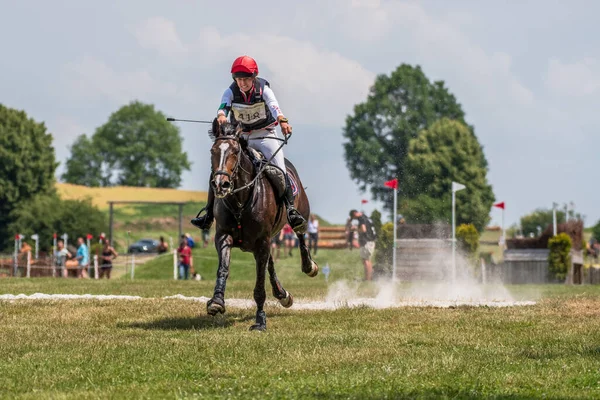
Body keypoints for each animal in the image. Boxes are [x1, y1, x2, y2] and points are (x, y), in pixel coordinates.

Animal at [205, 119, 318, 332]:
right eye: (212, 151)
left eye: (235, 152)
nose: (220, 184)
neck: (240, 201)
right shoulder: (224, 236)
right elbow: (223, 268)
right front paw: (216, 301)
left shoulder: (261, 242)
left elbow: (259, 284)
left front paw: (260, 321)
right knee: (271, 262)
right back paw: (283, 294)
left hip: (300, 214)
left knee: (300, 235)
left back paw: (309, 266)